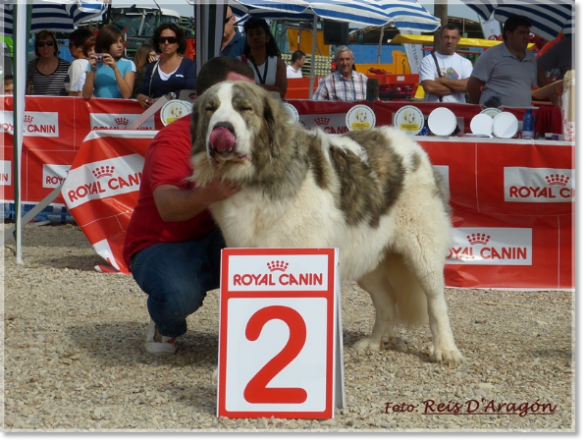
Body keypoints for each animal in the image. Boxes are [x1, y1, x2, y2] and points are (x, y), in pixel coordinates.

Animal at [189, 81, 464, 366]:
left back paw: (445, 348)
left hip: (422, 250)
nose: (222, 128)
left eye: (244, 108)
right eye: (211, 109)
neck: (259, 176)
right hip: (365, 254)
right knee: (386, 299)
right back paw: (375, 341)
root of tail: (409, 144)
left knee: (435, 300)